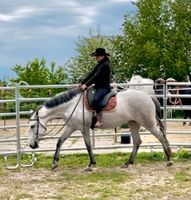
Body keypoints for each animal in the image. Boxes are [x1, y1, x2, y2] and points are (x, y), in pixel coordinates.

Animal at [28, 87, 173, 170]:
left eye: (32, 126)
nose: (31, 145)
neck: (72, 106)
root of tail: (149, 97)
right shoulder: (71, 127)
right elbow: (60, 142)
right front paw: (54, 163)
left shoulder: (83, 129)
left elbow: (88, 146)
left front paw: (91, 164)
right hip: (133, 124)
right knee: (137, 142)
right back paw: (128, 163)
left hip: (148, 123)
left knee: (161, 137)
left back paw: (169, 159)